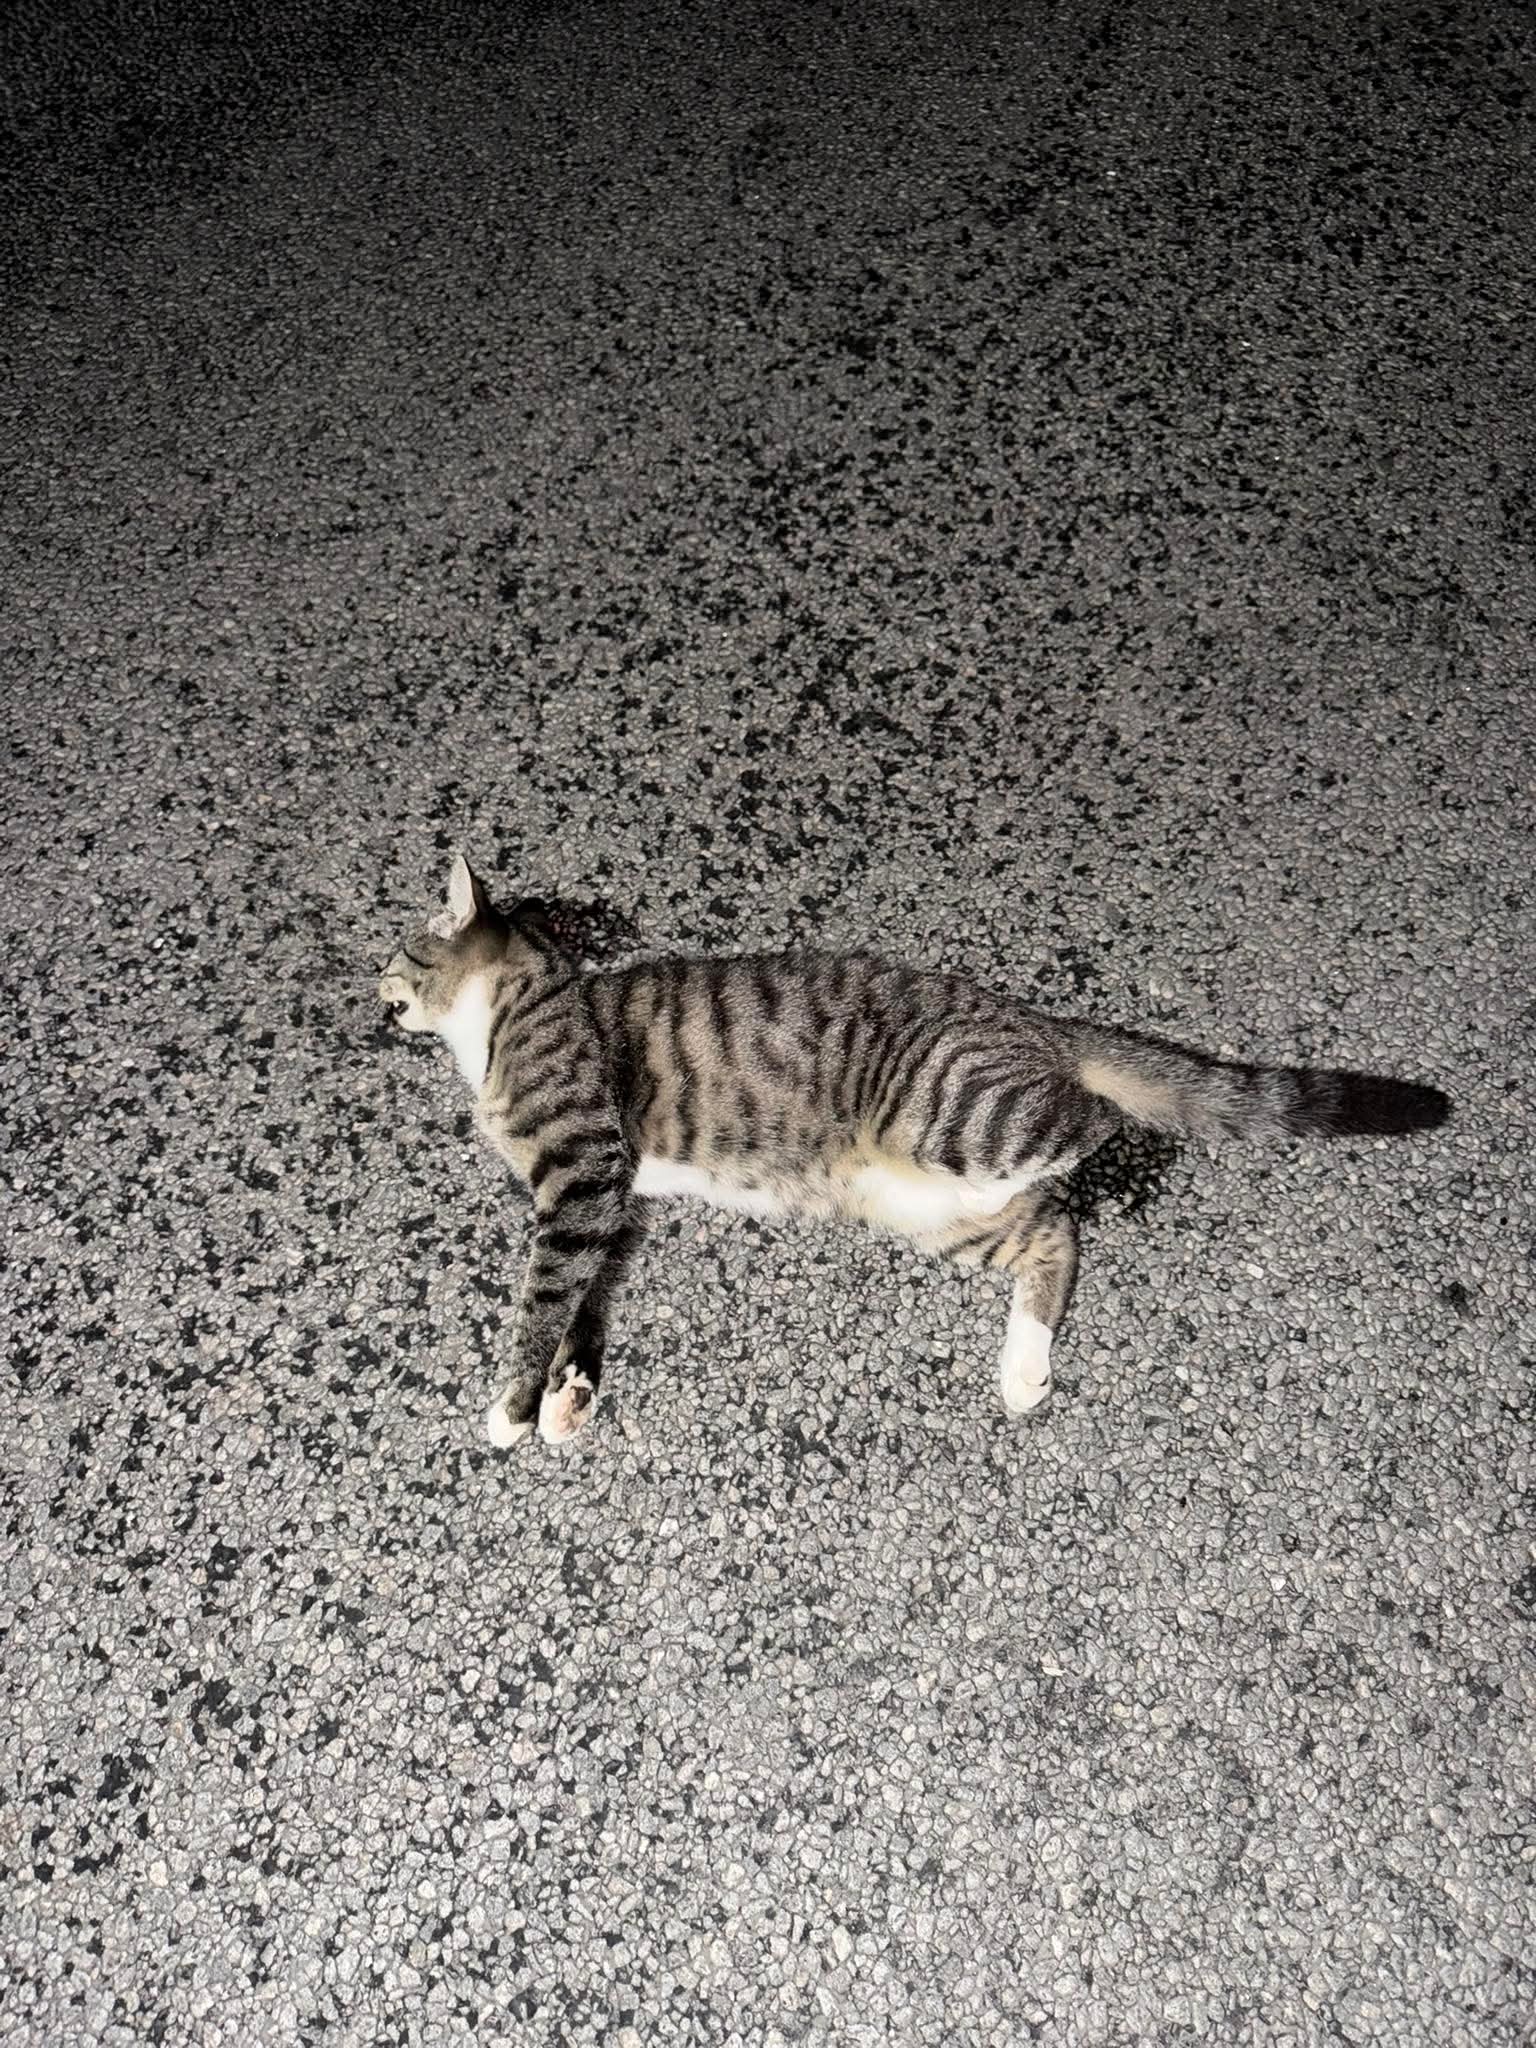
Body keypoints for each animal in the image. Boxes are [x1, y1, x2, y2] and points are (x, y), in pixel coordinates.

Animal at [377, 855, 1450, 1448]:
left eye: (398, 952)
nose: (371, 987)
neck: (516, 1013)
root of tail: (1033, 1022)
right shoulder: (616, 1195)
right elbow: (587, 1294)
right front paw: (569, 1392)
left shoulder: (586, 1168)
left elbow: (543, 1298)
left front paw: (514, 1406)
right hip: (931, 1206)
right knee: (1053, 1234)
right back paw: (1023, 1367)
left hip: (951, 1118)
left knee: (1091, 1127)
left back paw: (1111, 1153)